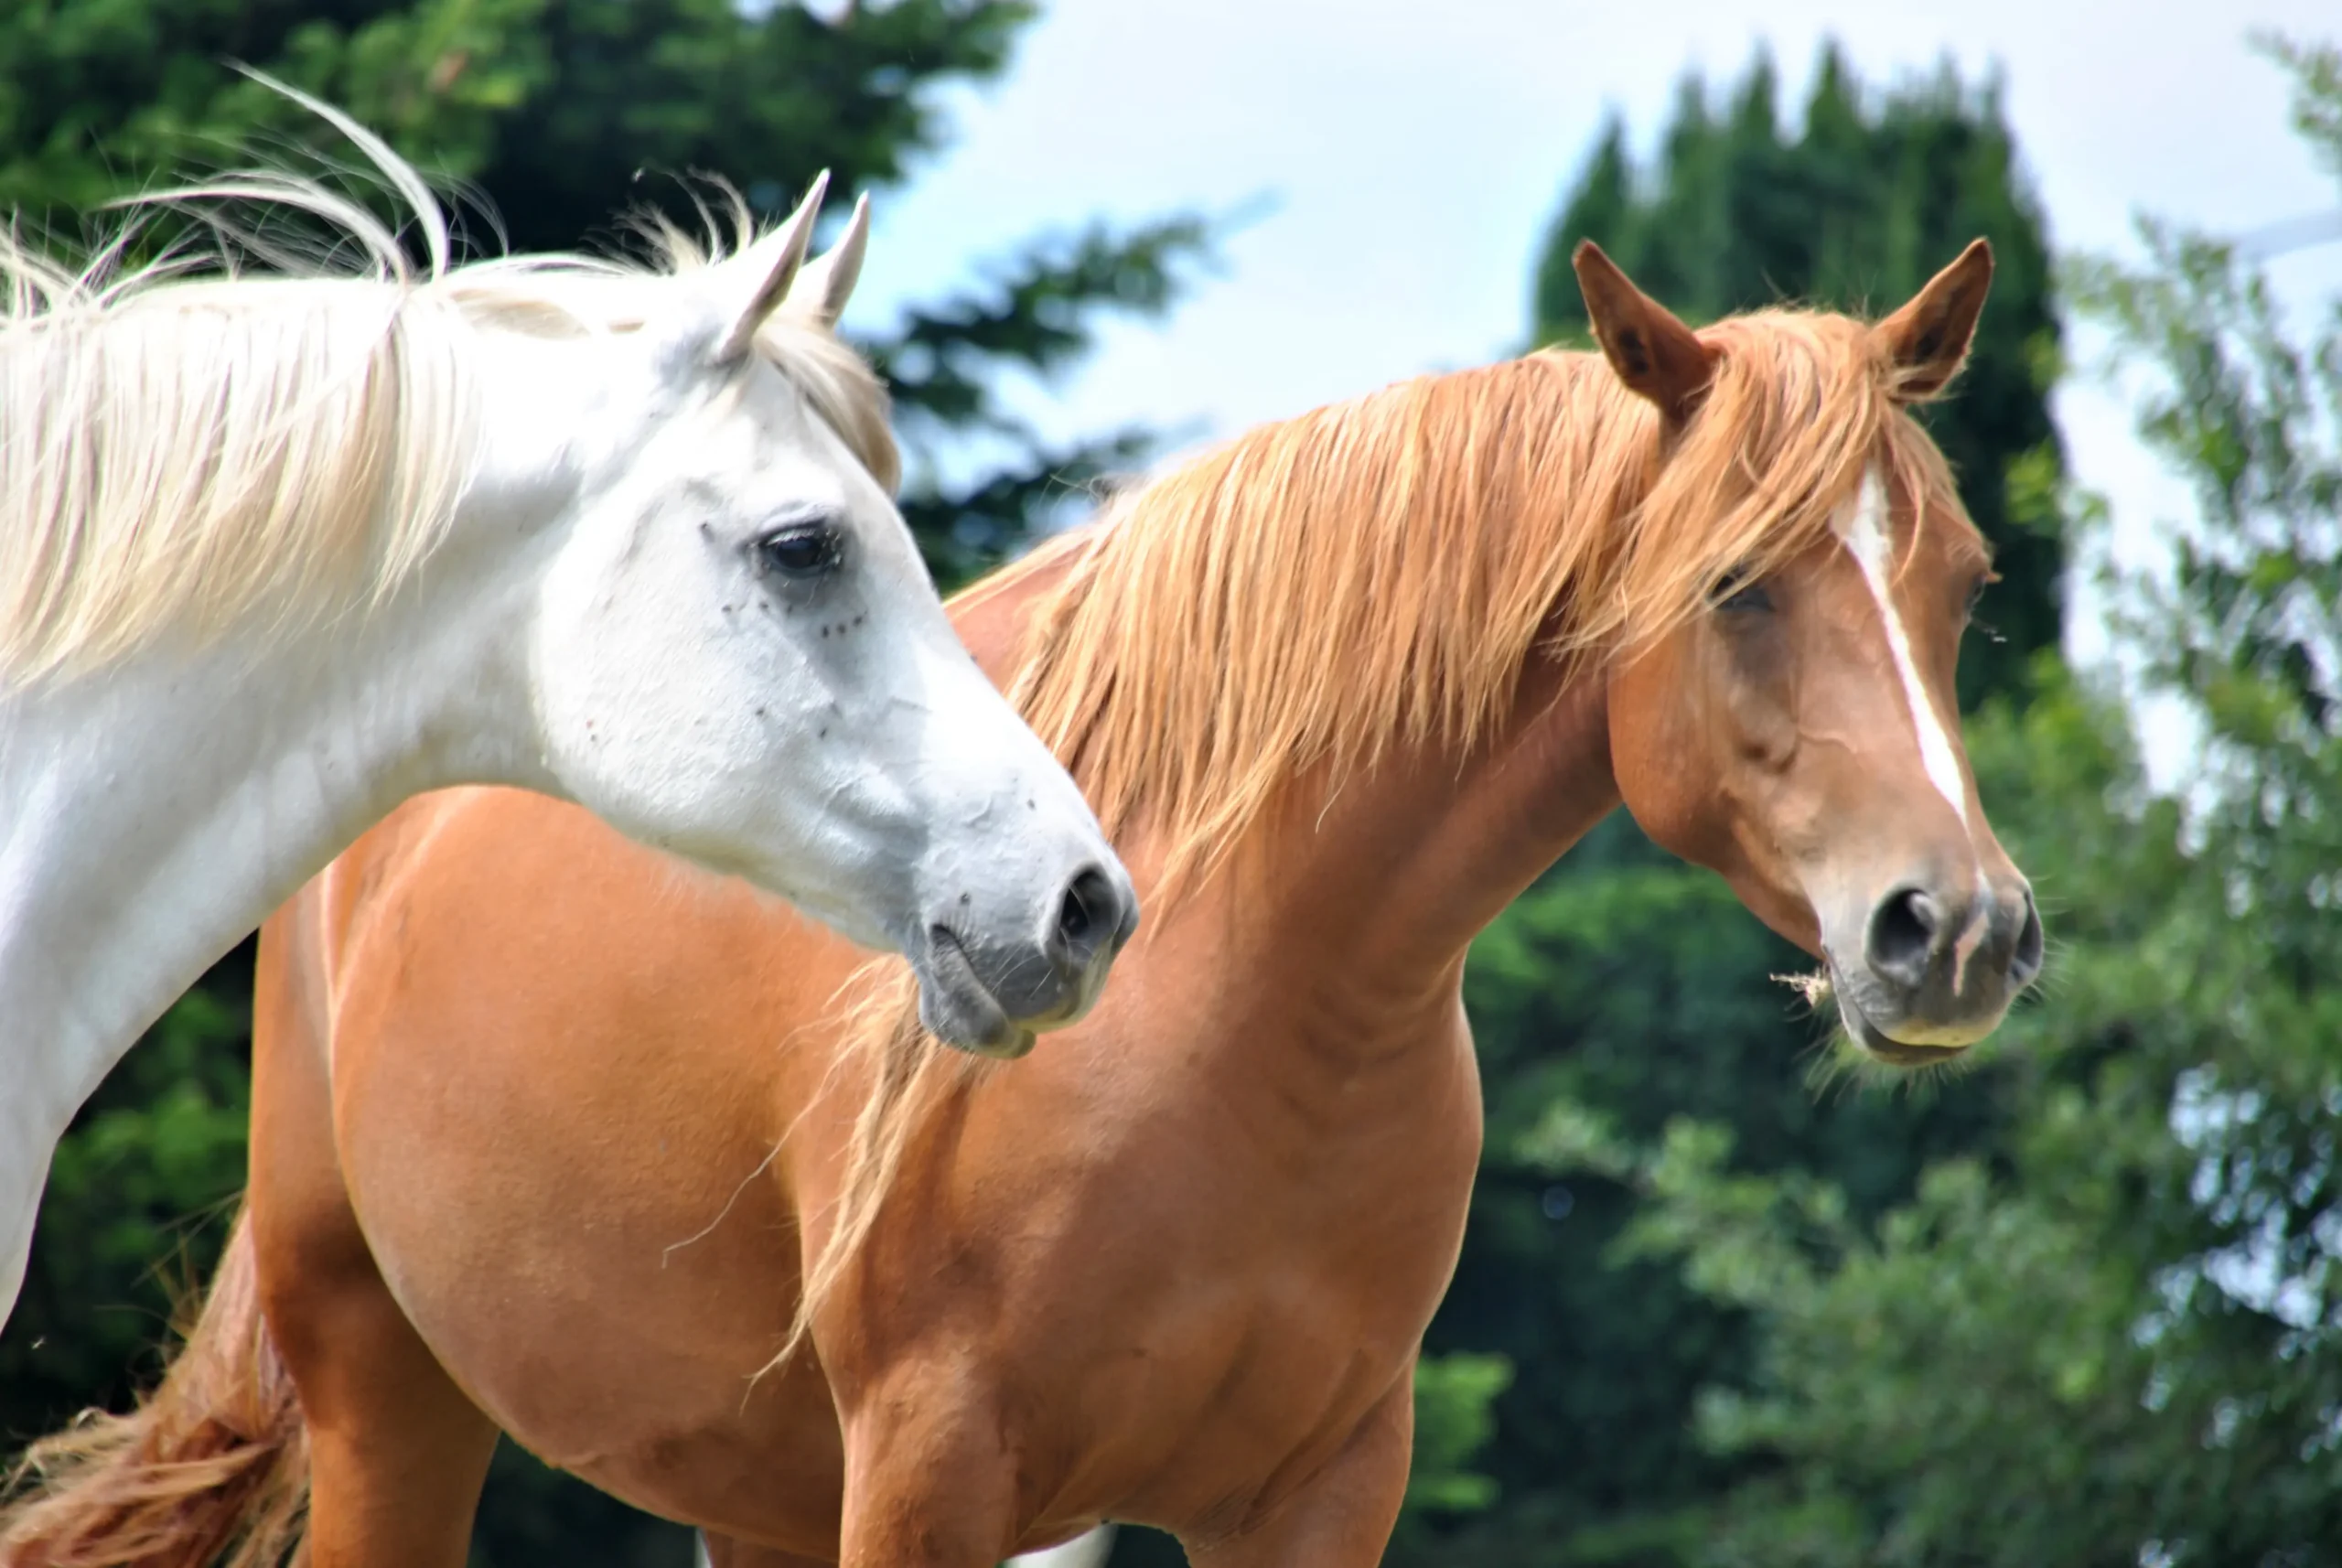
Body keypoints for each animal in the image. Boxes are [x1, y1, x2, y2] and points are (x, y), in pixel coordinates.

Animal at [0, 239, 2043, 1568]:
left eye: (1958, 578)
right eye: (1735, 585)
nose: (1950, 928)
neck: (1255, 1005)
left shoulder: (1312, 1493)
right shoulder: (929, 1473)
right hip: (389, 1397)